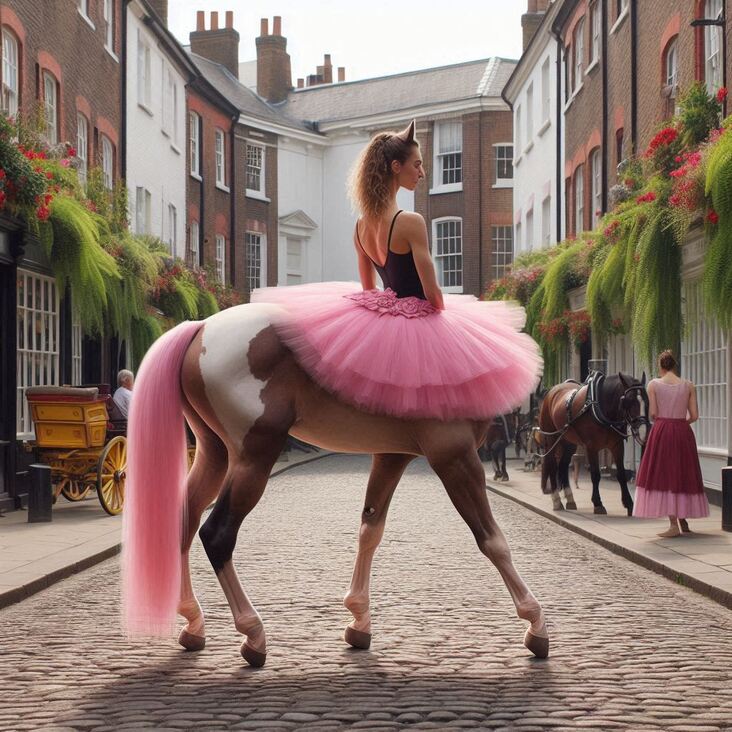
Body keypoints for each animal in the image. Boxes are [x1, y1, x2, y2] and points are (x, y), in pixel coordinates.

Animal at [121, 306, 548, 668]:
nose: (517, 437)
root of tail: (201, 329)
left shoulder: (392, 455)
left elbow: (370, 529)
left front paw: (359, 620)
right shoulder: (455, 457)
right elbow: (492, 540)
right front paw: (535, 623)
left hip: (215, 452)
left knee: (184, 521)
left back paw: (193, 623)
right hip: (254, 456)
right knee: (216, 533)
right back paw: (253, 633)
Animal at [536, 372, 648, 516]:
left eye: (646, 400)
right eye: (629, 401)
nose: (644, 431)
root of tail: (551, 392)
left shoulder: (617, 446)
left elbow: (621, 474)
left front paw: (629, 504)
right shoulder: (591, 447)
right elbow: (595, 474)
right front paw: (598, 504)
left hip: (568, 442)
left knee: (563, 465)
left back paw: (570, 499)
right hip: (551, 438)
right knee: (551, 464)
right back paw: (556, 500)